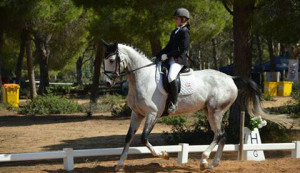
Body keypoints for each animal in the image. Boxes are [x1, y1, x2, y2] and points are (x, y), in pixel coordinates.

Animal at [102, 42, 284, 171]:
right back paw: (212, 164)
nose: (107, 83)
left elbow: (144, 138)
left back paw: (204, 160)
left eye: (111, 60)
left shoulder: (152, 114)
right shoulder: (137, 113)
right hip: (209, 111)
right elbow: (128, 137)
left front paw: (164, 155)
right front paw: (119, 164)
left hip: (216, 111)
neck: (142, 77)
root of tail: (231, 78)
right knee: (222, 135)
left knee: (219, 134)